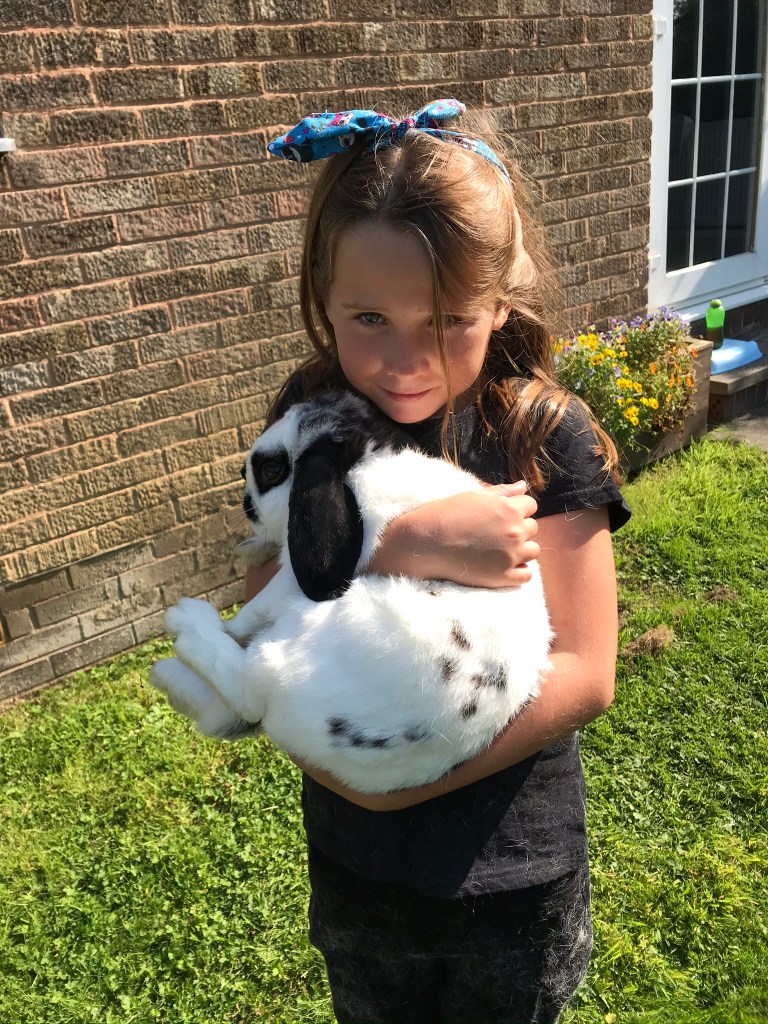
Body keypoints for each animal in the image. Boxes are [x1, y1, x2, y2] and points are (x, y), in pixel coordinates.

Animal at [150, 390, 553, 793]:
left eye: (272, 471)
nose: (247, 505)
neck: (364, 462)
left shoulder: (298, 574)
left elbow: (256, 606)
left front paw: (223, 622)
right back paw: (167, 675)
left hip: (310, 635)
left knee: (245, 688)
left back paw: (185, 625)